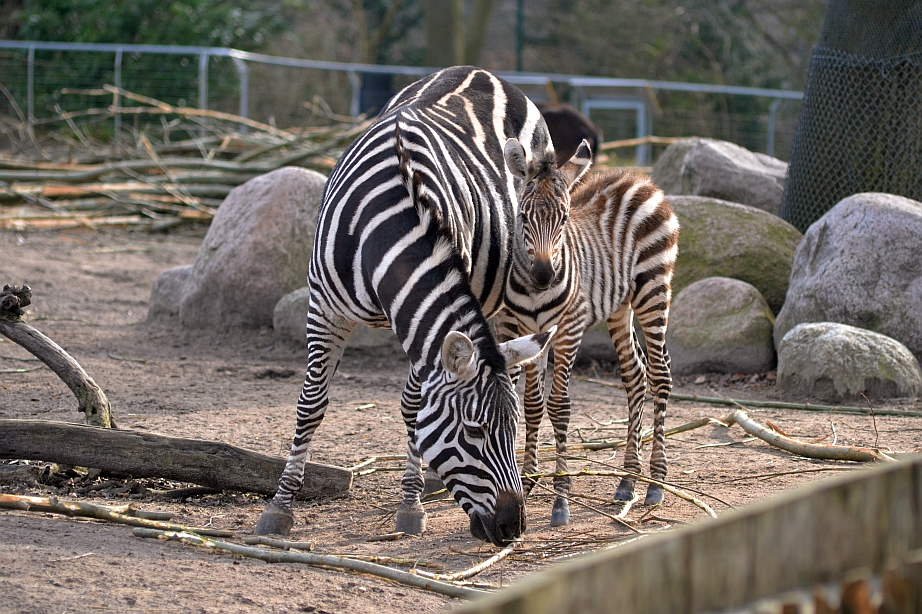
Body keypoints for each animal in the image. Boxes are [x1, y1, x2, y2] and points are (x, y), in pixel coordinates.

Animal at [255, 66, 586, 546]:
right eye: (473, 431)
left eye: (510, 433)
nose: (513, 528)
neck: (390, 224)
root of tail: (480, 71)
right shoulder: (323, 306)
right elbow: (311, 403)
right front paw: (279, 506)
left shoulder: (425, 319)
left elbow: (414, 408)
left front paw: (410, 505)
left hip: (503, 294)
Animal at [497, 145, 680, 526]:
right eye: (522, 217)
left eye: (565, 218)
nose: (543, 276)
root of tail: (640, 179)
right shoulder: (530, 331)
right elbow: (533, 404)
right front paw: (528, 481)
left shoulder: (569, 329)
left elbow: (559, 406)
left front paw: (561, 499)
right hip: (619, 306)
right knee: (635, 375)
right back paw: (627, 481)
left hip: (653, 290)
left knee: (660, 374)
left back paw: (655, 483)